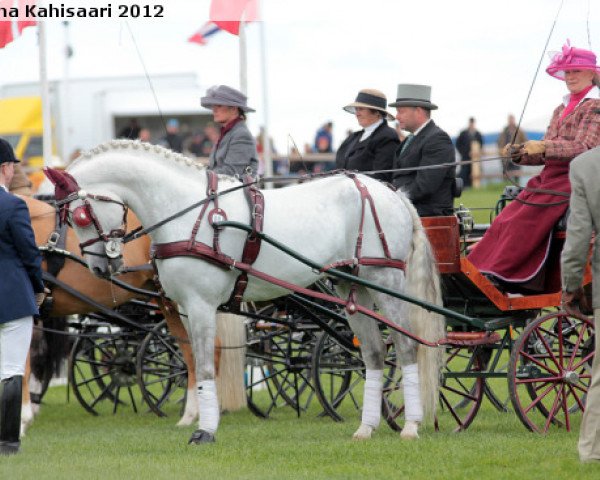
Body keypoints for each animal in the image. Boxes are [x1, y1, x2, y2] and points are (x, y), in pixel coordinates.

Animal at [48, 138, 446, 442]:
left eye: (79, 216)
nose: (99, 267)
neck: (187, 213)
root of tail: (390, 192)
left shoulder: (202, 305)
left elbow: (204, 365)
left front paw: (205, 431)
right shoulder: (186, 308)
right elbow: (194, 361)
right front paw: (201, 421)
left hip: (386, 283)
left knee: (406, 346)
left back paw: (411, 425)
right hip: (353, 287)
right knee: (375, 354)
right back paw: (366, 428)